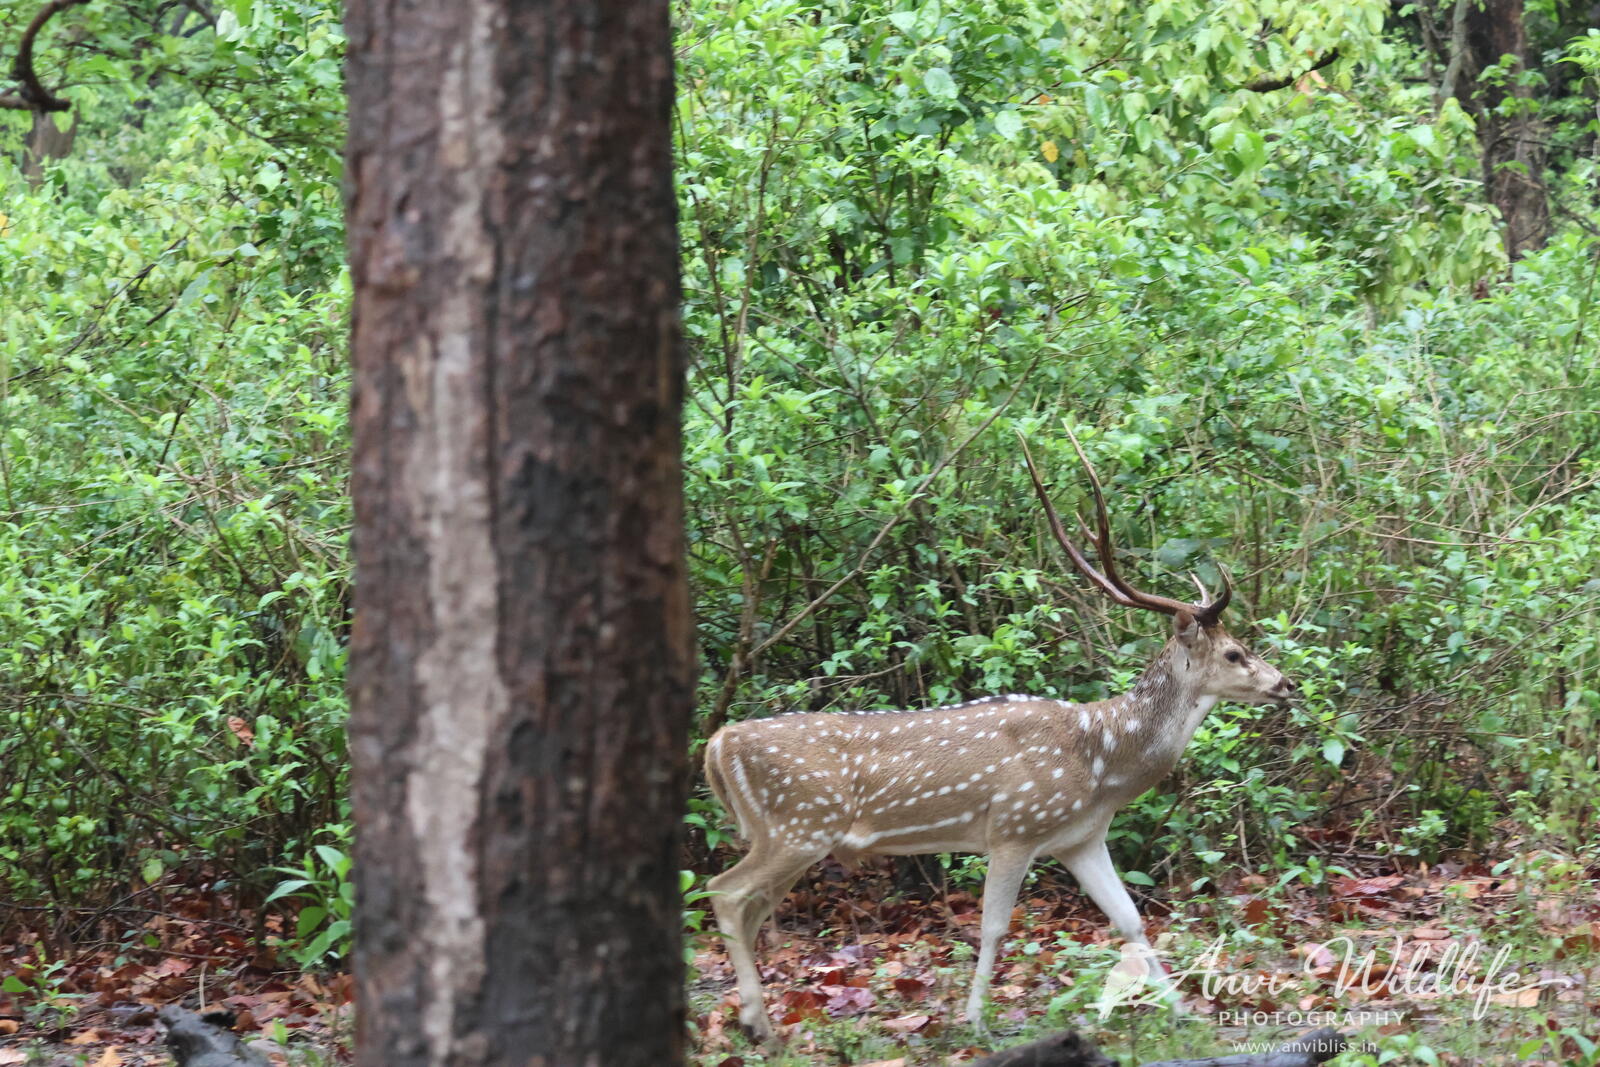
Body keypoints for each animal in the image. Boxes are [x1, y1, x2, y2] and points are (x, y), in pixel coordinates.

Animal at [703, 433, 1298, 1041]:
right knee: (724, 892)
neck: (1101, 763)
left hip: (787, 834)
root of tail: (718, 745)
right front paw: (975, 1019)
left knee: (749, 907)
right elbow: (993, 927)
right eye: (1235, 653)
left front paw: (1179, 1010)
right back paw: (758, 1022)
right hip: (798, 825)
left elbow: (1128, 918)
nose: (1286, 684)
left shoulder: (1081, 838)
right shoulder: (1014, 826)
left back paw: (754, 1018)